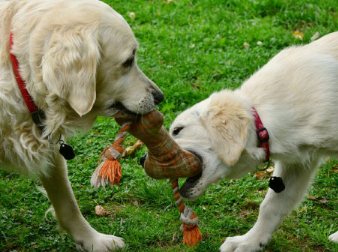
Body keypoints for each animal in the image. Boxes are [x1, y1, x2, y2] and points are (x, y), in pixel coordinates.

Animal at [0, 0, 163, 251]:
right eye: (128, 61)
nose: (160, 97)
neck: (19, 76)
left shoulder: (52, 148)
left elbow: (68, 204)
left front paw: (94, 241)